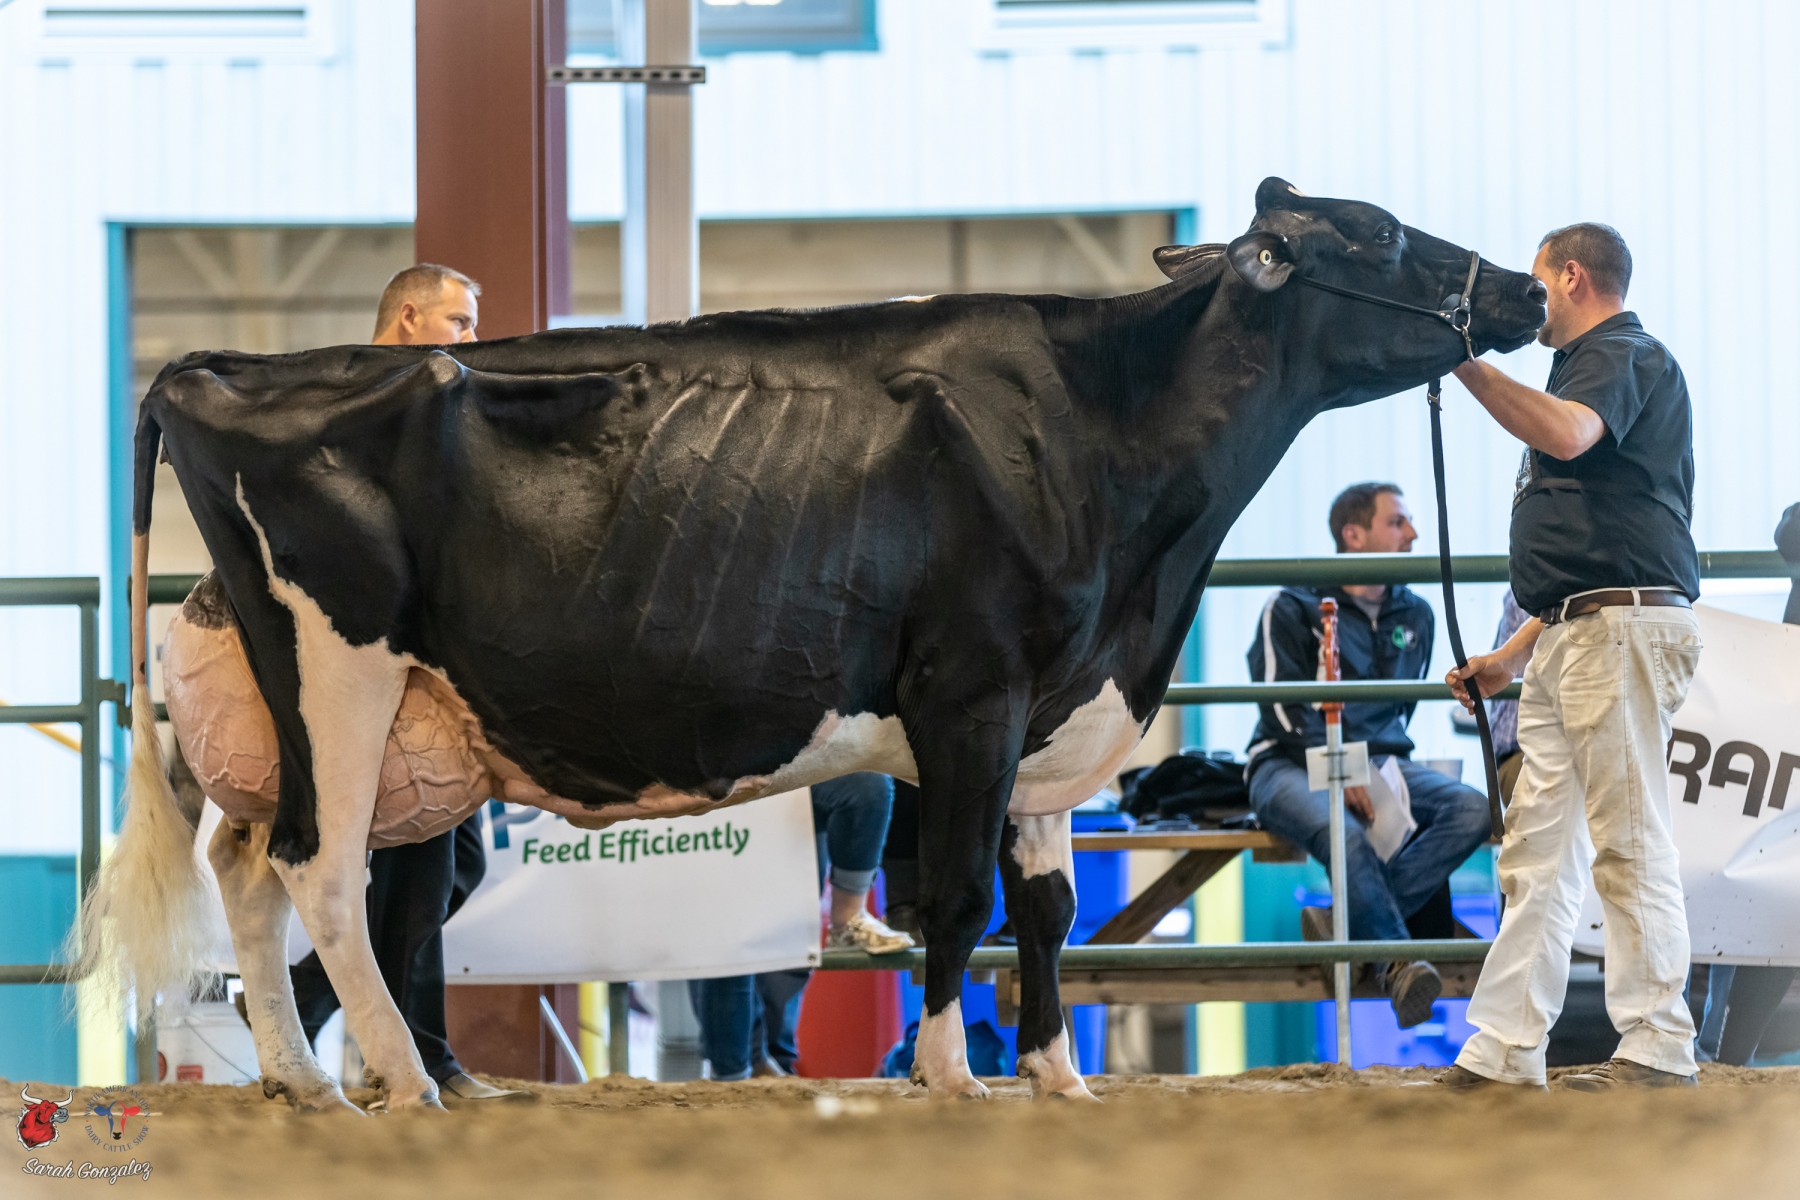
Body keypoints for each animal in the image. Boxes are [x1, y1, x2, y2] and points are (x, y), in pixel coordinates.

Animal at [85, 178, 1544, 1113]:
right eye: (1377, 234)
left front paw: (1058, 1076)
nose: (1527, 288)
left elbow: (1048, 910)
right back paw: (397, 1082)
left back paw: (299, 1081)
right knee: (324, 873)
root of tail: (221, 367)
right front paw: (955, 1076)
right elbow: (956, 899)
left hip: (278, 701)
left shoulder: (1050, 711)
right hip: (340, 667)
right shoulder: (973, 694)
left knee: (250, 871)